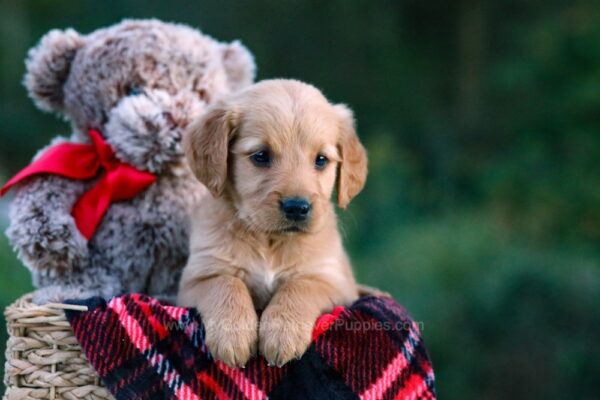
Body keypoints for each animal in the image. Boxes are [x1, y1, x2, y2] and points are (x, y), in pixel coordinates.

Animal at [176, 77, 368, 366]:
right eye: (261, 156)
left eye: (321, 160)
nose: (297, 207)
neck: (269, 241)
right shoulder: (196, 278)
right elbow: (226, 283)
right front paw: (233, 335)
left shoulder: (334, 281)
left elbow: (300, 286)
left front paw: (283, 333)